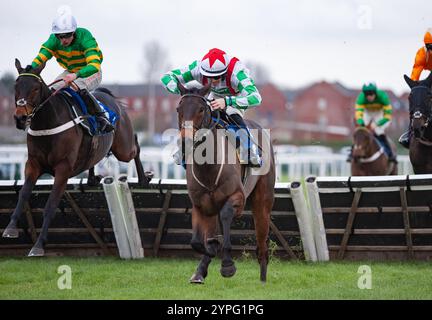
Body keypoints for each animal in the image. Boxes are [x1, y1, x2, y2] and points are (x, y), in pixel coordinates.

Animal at [2, 58, 152, 256]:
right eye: (16, 87)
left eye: (35, 88)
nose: (20, 117)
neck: (48, 122)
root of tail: (111, 98)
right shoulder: (33, 164)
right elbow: (23, 194)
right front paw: (10, 228)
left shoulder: (63, 169)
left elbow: (51, 205)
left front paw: (38, 245)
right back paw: (92, 178)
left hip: (123, 148)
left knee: (135, 145)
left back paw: (144, 177)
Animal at [175, 83, 274, 284]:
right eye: (178, 109)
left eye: (201, 109)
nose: (186, 141)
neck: (208, 166)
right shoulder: (200, 204)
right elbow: (197, 241)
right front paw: (205, 261)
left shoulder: (237, 197)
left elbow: (226, 217)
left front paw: (228, 265)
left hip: (262, 202)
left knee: (262, 242)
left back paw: (262, 279)